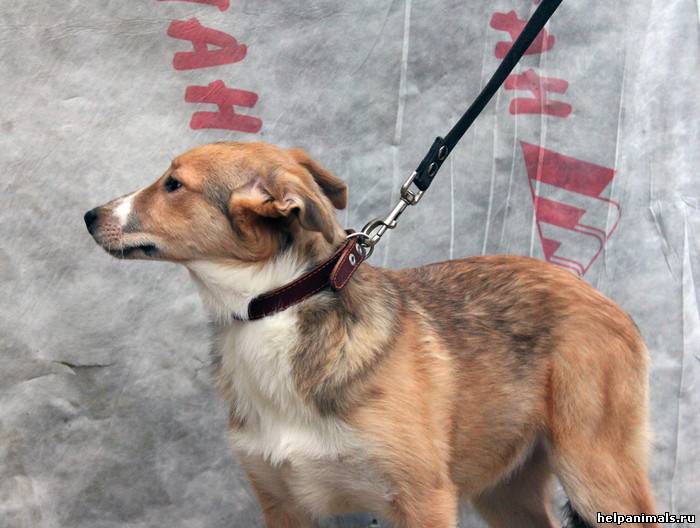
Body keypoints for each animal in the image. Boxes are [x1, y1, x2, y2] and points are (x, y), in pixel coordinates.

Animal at [85, 142, 657, 527]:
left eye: (173, 185)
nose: (89, 215)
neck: (273, 308)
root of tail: (608, 304)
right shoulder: (284, 505)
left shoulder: (424, 499)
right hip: (507, 491)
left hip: (596, 472)